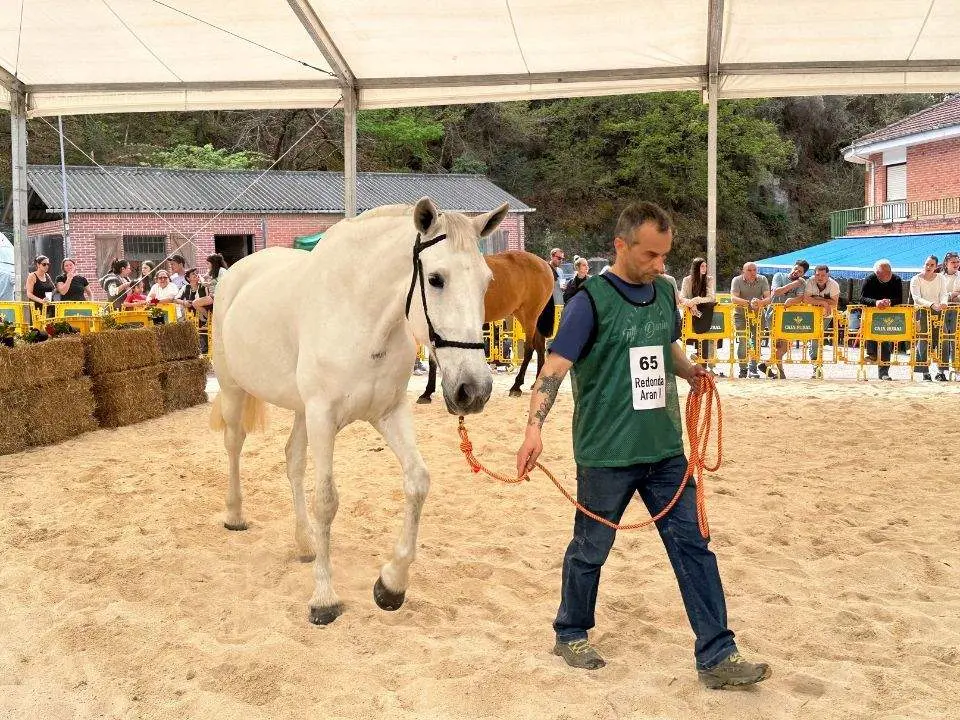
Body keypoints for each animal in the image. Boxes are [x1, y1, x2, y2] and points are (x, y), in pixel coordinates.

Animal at [210, 197, 508, 625]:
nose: (474, 390)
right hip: (235, 388)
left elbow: (418, 482)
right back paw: (235, 516)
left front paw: (391, 585)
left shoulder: (389, 412)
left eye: (487, 281)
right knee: (234, 444)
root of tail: (235, 273)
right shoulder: (323, 416)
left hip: (301, 411)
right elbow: (326, 500)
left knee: (293, 460)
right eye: (436, 279)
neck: (362, 319)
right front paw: (324, 599)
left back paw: (305, 544)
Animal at [416, 251, 556, 403]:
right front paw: (427, 393)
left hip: (529, 316)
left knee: (530, 349)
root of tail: (544, 263)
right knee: (540, 346)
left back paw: (516, 386)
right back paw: (536, 382)